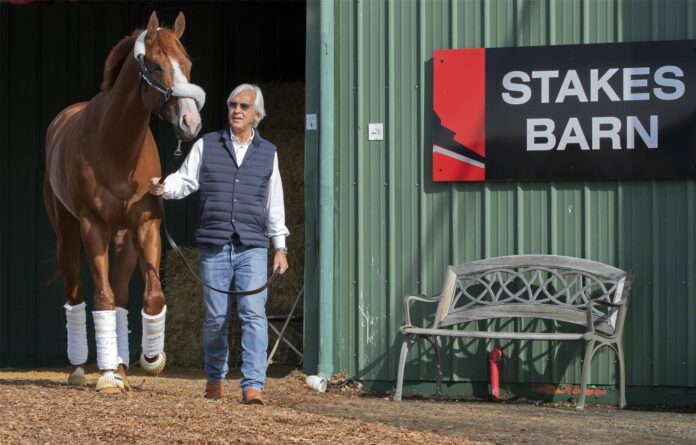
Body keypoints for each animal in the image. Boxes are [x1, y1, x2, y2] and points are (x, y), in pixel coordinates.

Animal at [44, 11, 204, 392]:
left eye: (188, 63)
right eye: (157, 66)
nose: (191, 123)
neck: (115, 146)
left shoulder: (146, 227)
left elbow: (152, 296)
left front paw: (150, 358)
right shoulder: (94, 228)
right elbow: (100, 298)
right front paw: (106, 378)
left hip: (124, 239)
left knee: (119, 296)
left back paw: (119, 364)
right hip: (68, 236)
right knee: (77, 293)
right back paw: (82, 368)